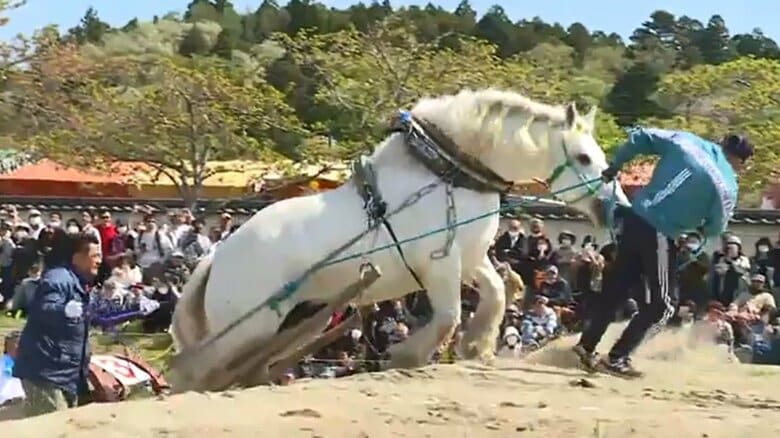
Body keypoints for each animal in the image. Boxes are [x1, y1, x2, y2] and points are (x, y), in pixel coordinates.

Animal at [169, 88, 629, 391]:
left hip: (285, 321)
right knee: (200, 371)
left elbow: (497, 292)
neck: (445, 175)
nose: (615, 208)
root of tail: (217, 258)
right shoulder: (439, 262)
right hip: (247, 326)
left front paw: (476, 345)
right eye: (584, 157)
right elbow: (448, 316)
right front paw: (408, 356)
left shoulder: (469, 257)